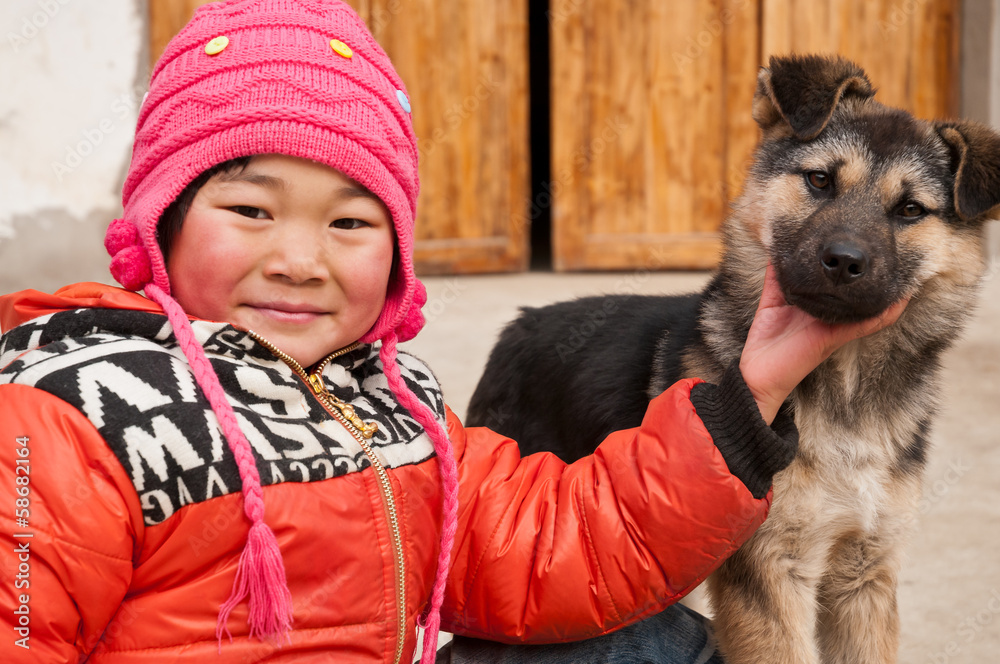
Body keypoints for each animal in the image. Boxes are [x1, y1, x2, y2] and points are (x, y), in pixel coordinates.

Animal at [464, 54, 1000, 660]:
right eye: (820, 180)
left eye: (910, 210)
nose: (843, 261)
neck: (844, 390)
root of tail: (519, 323)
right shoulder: (768, 572)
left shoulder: (866, 573)